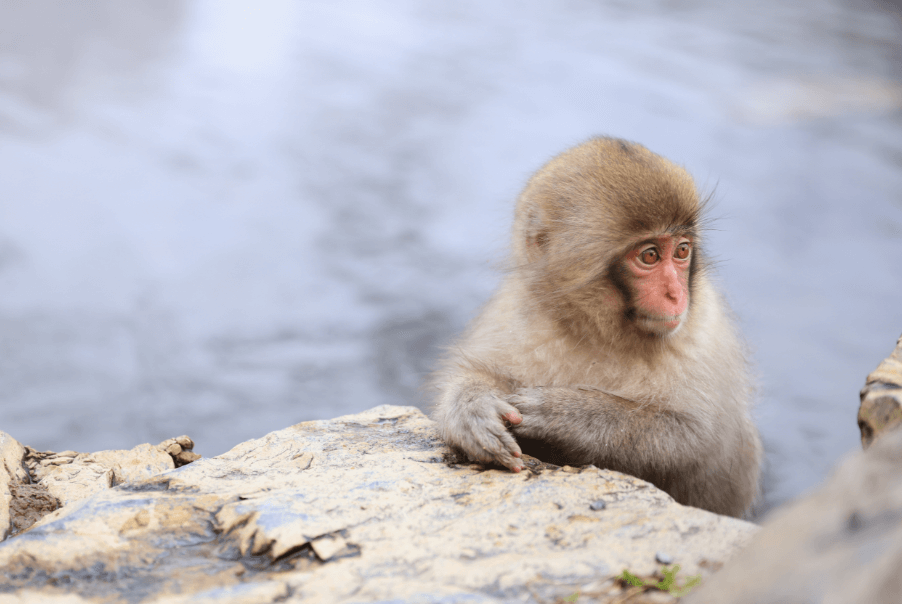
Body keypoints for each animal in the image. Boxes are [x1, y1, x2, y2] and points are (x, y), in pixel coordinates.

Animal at [430, 137, 764, 520]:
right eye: (650, 256)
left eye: (681, 251)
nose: (676, 295)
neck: (599, 332)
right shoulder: (515, 310)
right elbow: (476, 373)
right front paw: (472, 408)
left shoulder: (703, 330)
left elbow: (697, 440)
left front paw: (567, 412)